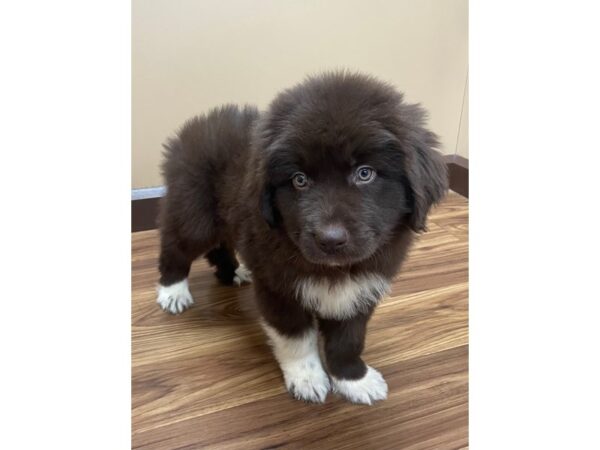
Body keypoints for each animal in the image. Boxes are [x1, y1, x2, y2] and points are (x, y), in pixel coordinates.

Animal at [157, 73, 448, 404]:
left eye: (365, 173)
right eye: (299, 179)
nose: (330, 239)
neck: (336, 270)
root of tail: (191, 129)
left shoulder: (361, 289)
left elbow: (348, 340)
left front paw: (354, 379)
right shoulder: (279, 288)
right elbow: (296, 338)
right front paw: (308, 379)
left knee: (220, 246)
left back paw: (232, 272)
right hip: (194, 216)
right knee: (175, 247)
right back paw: (173, 291)